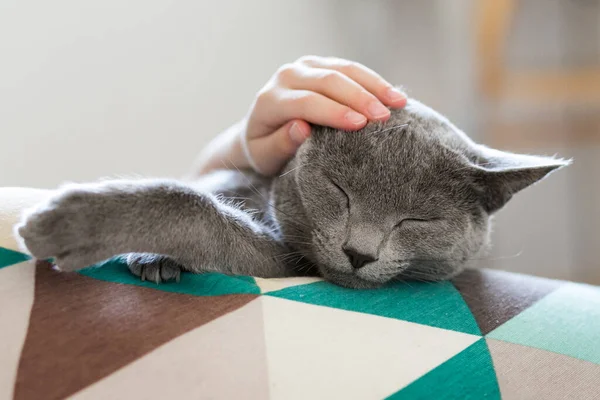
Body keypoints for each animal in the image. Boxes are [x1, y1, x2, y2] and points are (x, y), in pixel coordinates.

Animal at [12, 98, 568, 290]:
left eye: (418, 221)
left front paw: (71, 223)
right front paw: (151, 254)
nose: (358, 252)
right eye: (339, 191)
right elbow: (205, 189)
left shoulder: (288, 262)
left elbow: (194, 208)